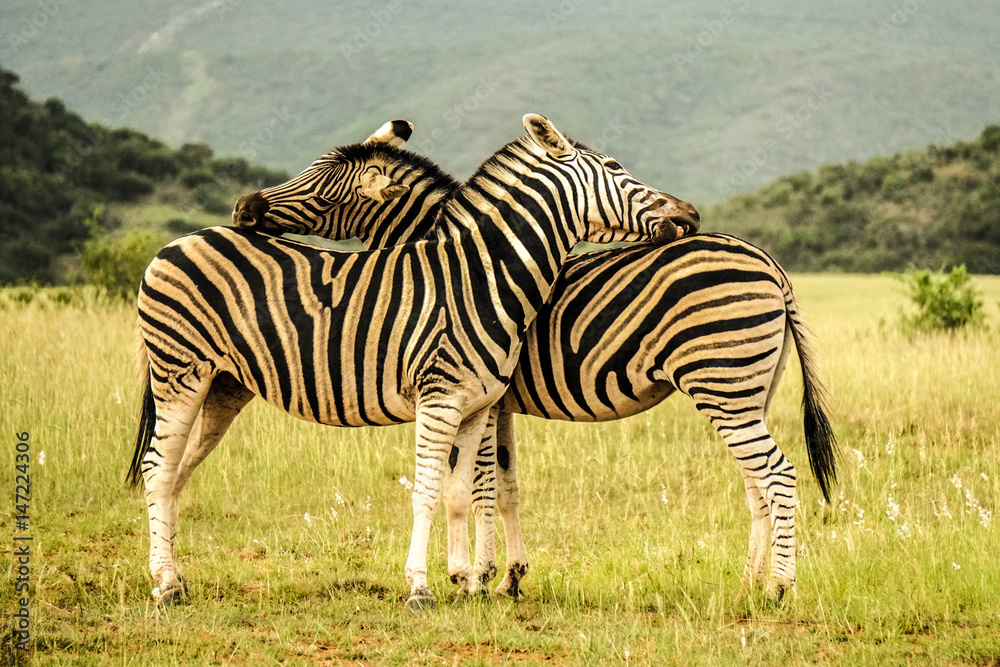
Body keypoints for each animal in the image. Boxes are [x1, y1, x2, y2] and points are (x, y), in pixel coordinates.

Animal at [128, 113, 699, 609]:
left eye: (321, 186)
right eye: (618, 169)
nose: (688, 215)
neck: (480, 278)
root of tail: (175, 243)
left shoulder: (479, 405)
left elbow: (462, 492)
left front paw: (470, 581)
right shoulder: (441, 400)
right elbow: (434, 492)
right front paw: (427, 587)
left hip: (223, 385)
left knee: (174, 472)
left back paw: (173, 577)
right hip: (180, 374)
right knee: (158, 469)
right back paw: (166, 585)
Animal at [236, 148, 837, 601]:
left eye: (321, 188)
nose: (244, 207)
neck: (471, 269)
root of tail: (770, 263)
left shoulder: (482, 395)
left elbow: (479, 485)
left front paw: (475, 575)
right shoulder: (497, 402)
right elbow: (507, 487)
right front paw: (511, 577)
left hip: (722, 383)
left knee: (777, 475)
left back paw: (779, 588)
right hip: (746, 391)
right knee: (757, 484)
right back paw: (749, 584)